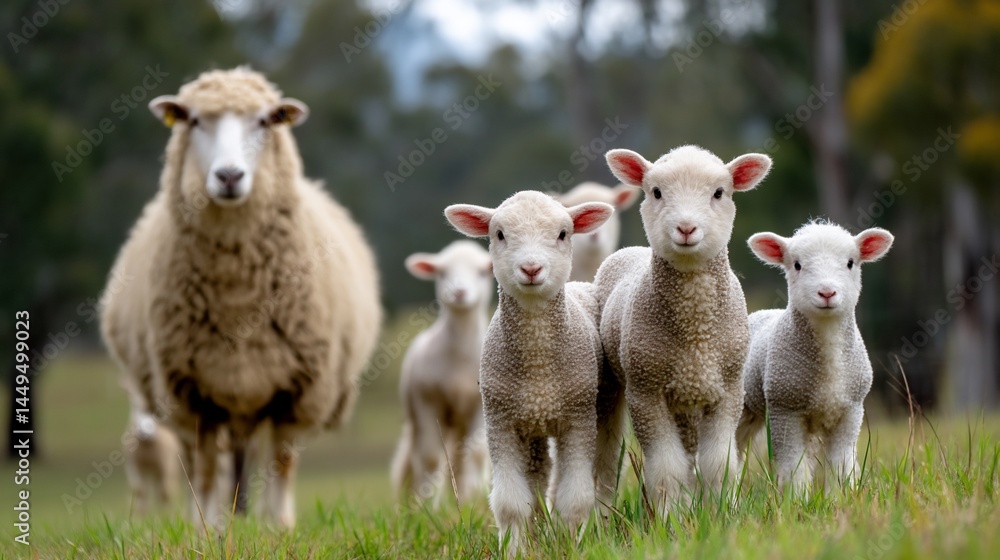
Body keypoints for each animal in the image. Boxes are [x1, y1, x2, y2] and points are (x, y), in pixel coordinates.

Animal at [99, 67, 382, 528]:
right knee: (203, 462)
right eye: (194, 120)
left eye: (266, 121)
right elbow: (205, 468)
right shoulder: (193, 392)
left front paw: (279, 527)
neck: (237, 300)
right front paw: (207, 528)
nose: (229, 176)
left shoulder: (297, 390)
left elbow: (282, 462)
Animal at [390, 240, 493, 505]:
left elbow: (476, 454)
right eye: (442, 273)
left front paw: (470, 501)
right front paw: (426, 505)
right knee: (414, 459)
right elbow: (430, 458)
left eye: (482, 272)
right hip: (418, 418)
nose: (459, 292)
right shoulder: (427, 401)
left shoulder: (479, 404)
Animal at [444, 191, 620, 553]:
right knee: (539, 478)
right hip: (533, 424)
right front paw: (515, 550)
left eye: (563, 234)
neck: (538, 368)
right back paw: (539, 532)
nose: (531, 268)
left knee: (604, 472)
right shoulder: (501, 421)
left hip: (603, 405)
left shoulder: (578, 419)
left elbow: (574, 498)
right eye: (499, 234)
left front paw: (571, 546)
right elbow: (511, 503)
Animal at [596, 145, 772, 516]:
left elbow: (719, 464)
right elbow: (666, 467)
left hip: (691, 398)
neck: (695, 335)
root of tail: (630, 250)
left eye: (719, 193)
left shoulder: (728, 390)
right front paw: (668, 518)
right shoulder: (646, 391)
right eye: (656, 192)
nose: (686, 228)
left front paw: (721, 512)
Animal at [736, 222, 894, 494]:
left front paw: (839, 497)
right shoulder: (785, 407)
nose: (827, 292)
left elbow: (841, 464)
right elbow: (792, 465)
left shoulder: (851, 409)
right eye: (797, 265)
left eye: (851, 262)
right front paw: (796, 498)